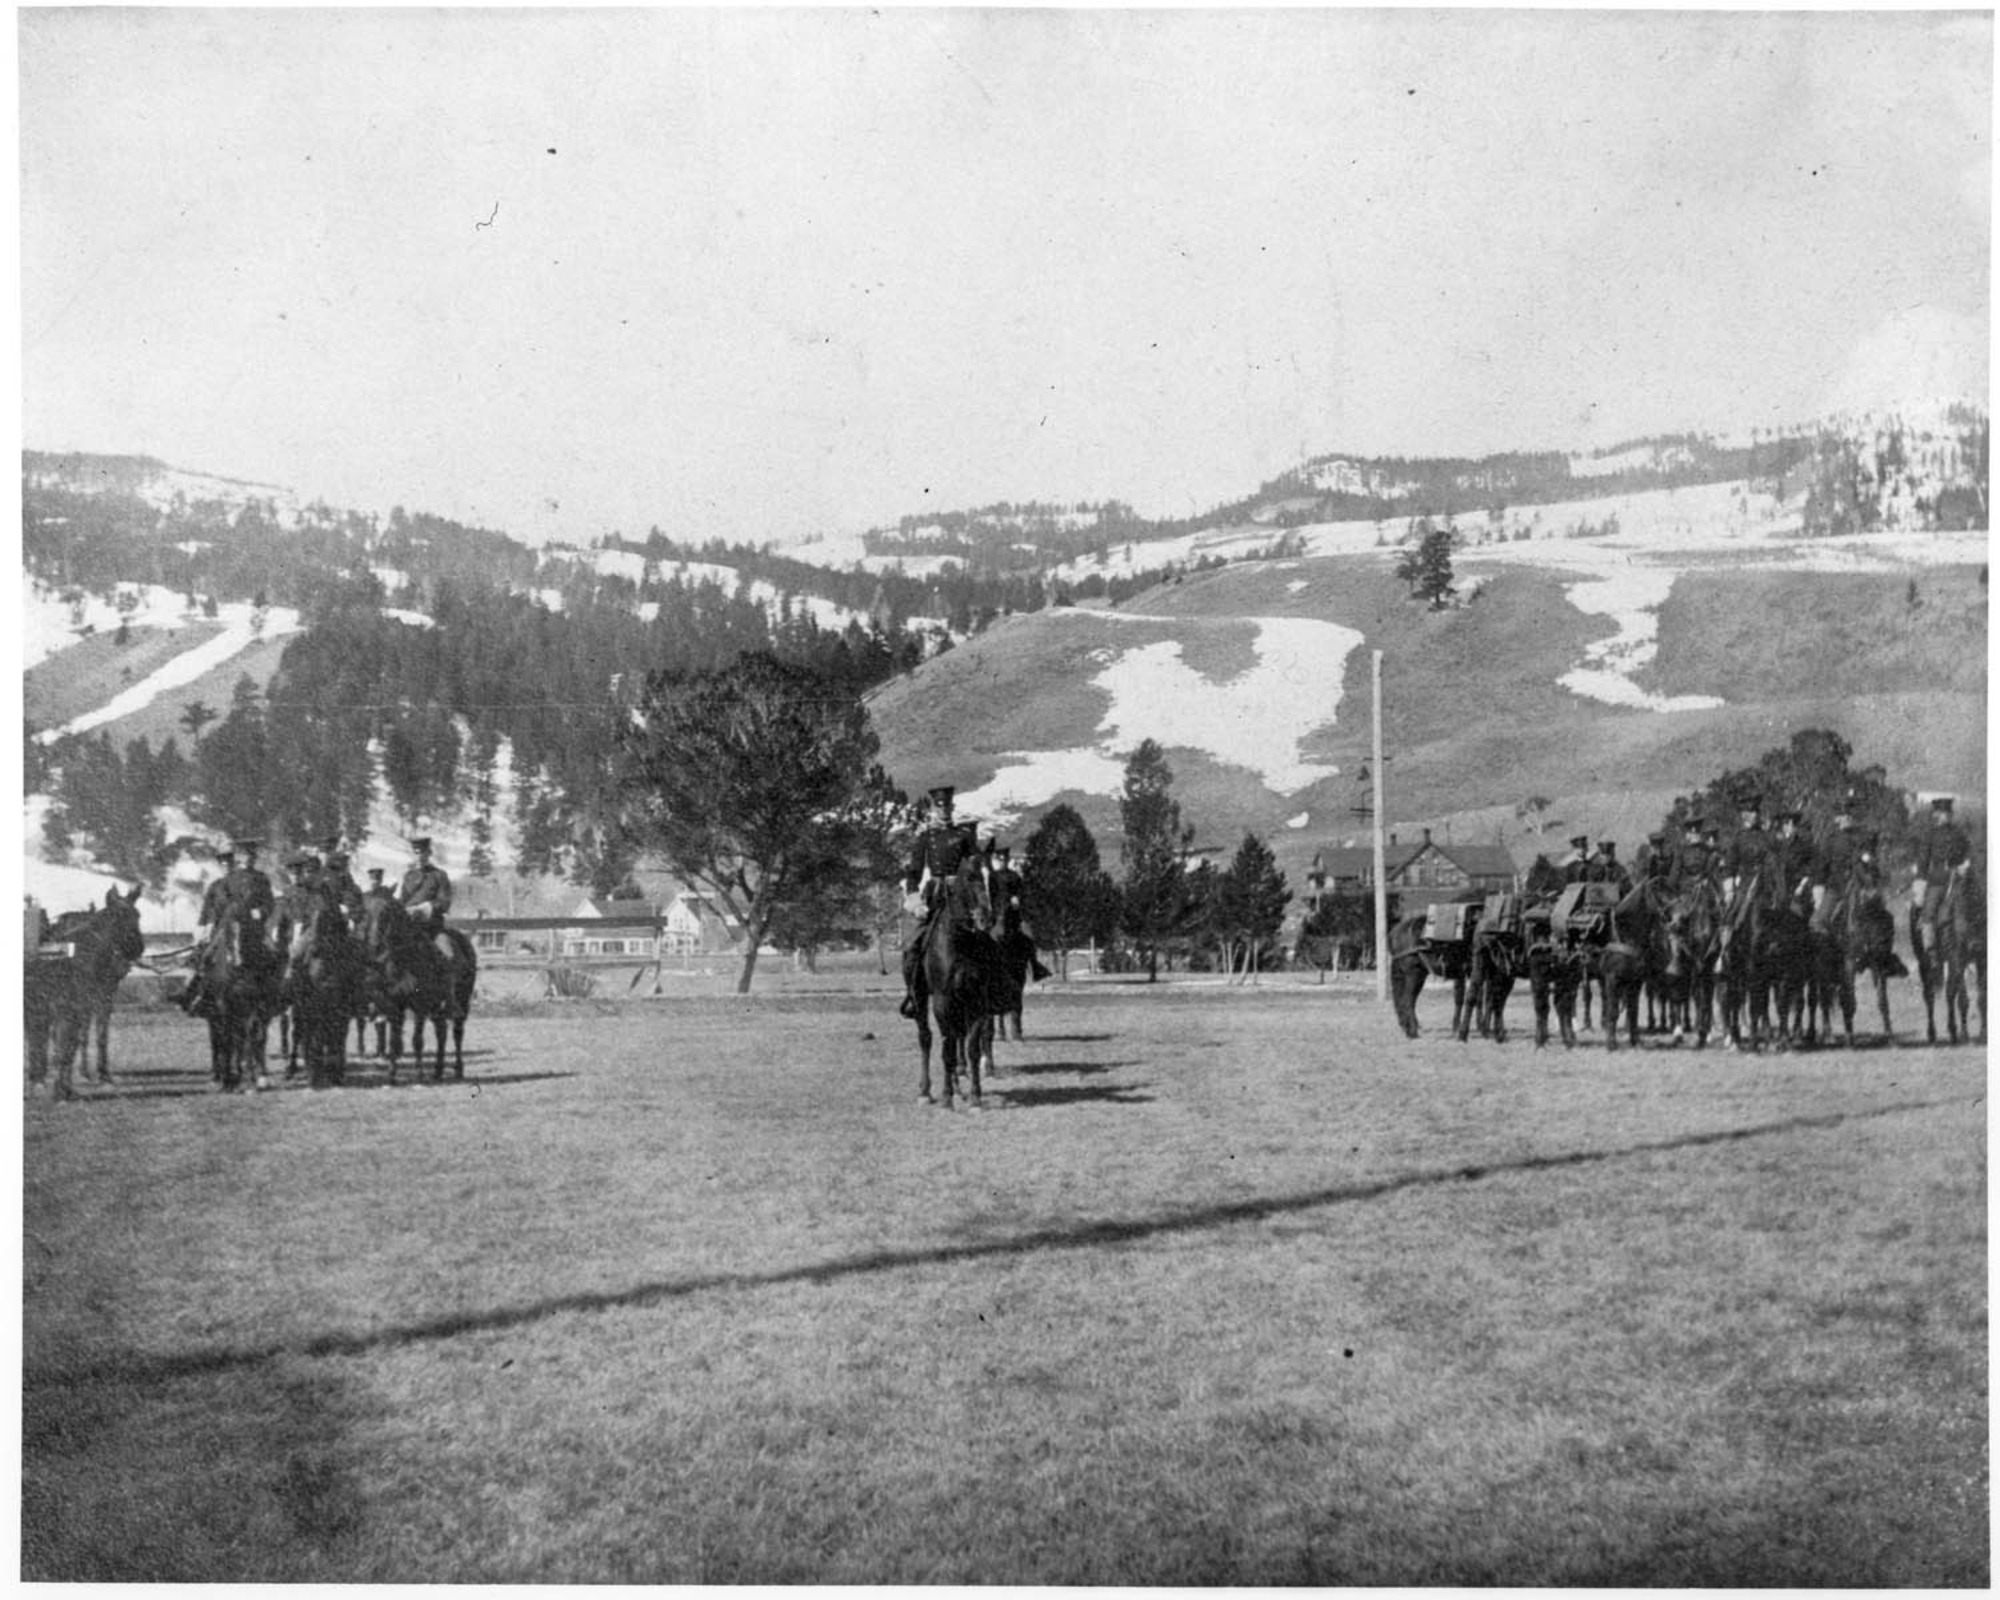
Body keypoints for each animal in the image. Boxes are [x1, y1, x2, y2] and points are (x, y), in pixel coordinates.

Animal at [23, 888, 145, 1104]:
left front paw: (65, 1089)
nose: (137, 947)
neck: (76, 959)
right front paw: (58, 1090)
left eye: (137, 915)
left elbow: (70, 1047)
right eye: (117, 917)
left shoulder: (80, 1010)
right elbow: (64, 1048)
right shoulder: (65, 1011)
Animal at [358, 900, 478, 1088]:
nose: (374, 945)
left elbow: (417, 1041)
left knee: (457, 1033)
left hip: (462, 1001)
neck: (405, 960)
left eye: (385, 914)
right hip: (436, 1008)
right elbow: (394, 1041)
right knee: (441, 1032)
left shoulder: (420, 1007)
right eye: (365, 914)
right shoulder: (396, 1007)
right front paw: (391, 1076)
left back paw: (458, 1069)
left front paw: (420, 1076)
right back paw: (438, 1071)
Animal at [916, 864, 1024, 1112]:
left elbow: (973, 1047)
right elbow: (947, 1050)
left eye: (991, 880)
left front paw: (975, 1097)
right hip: (921, 999)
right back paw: (926, 1091)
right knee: (926, 1037)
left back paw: (959, 1085)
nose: (986, 919)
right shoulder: (942, 1002)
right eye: (969, 878)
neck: (959, 943)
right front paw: (947, 1097)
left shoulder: (977, 1002)